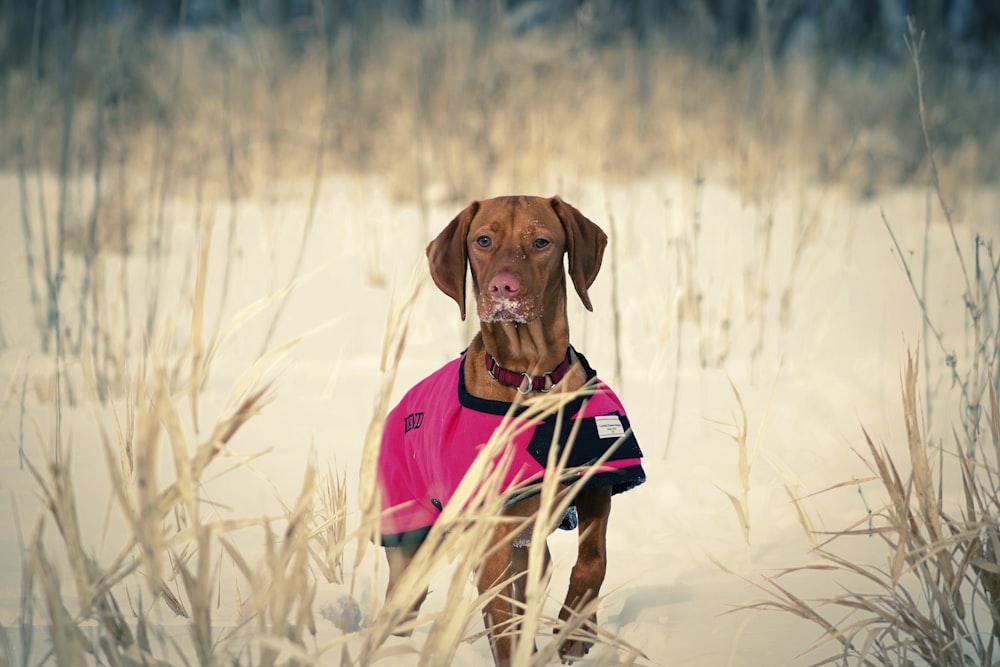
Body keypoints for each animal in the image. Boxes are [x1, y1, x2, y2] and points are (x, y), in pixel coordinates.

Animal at [376, 196, 648, 664]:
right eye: (483, 240)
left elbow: (593, 559)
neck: (529, 377)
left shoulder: (597, 480)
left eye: (540, 242)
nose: (503, 289)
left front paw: (577, 629)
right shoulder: (492, 536)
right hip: (412, 548)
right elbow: (503, 627)